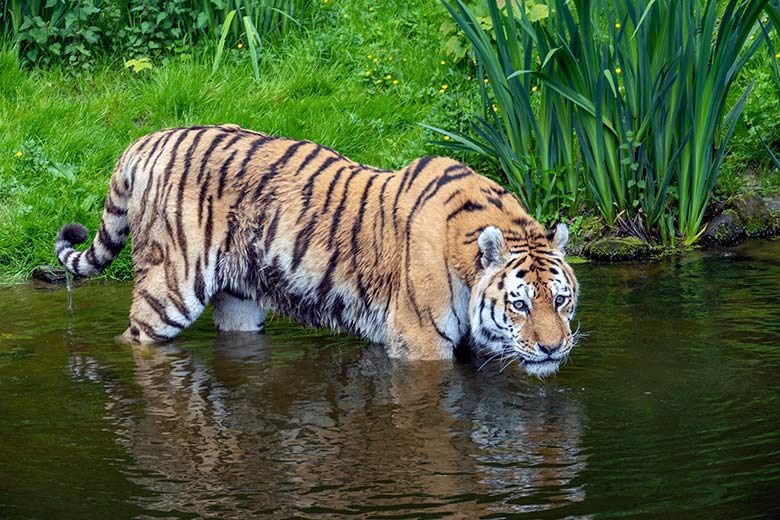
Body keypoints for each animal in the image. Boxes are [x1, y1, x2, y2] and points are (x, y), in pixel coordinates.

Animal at [54, 126, 580, 378]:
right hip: (169, 290)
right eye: (519, 304)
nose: (554, 348)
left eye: (561, 300)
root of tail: (147, 141)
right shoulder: (420, 345)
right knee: (136, 338)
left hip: (239, 303)